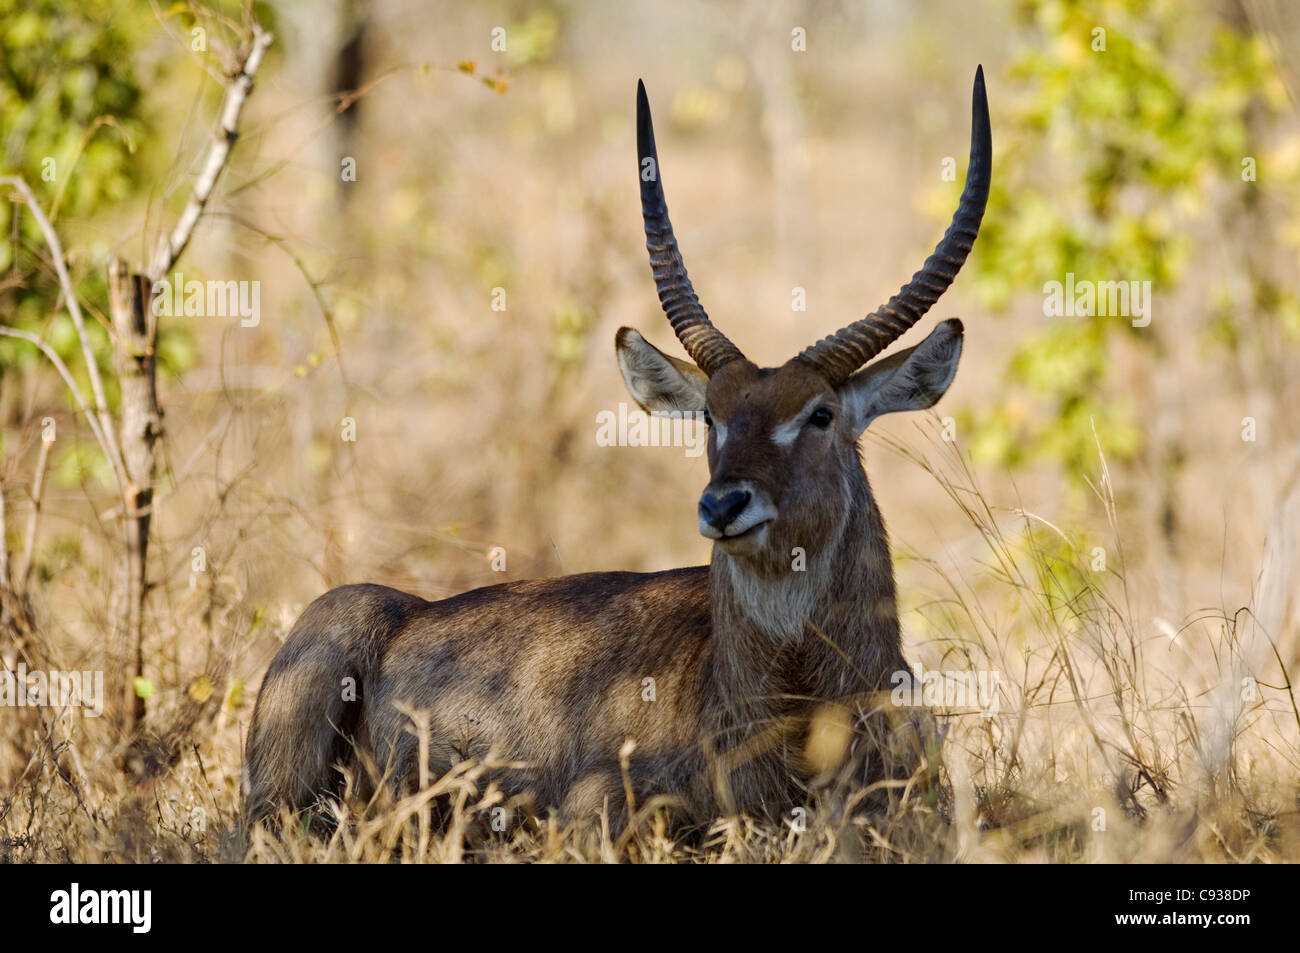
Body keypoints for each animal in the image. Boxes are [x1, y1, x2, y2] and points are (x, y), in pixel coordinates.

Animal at [244, 65, 987, 826]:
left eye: (821, 414)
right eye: (711, 417)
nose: (724, 506)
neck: (794, 700)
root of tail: (412, 607)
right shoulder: (593, 796)